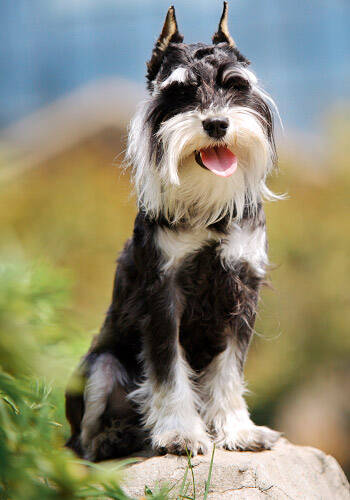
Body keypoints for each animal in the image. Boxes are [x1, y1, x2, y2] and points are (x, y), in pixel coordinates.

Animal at [65, 1, 282, 460]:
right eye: (179, 92)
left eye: (235, 85)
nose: (216, 123)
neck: (209, 212)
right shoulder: (163, 295)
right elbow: (168, 371)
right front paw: (181, 434)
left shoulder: (242, 291)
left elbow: (229, 371)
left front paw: (239, 430)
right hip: (101, 367)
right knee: (81, 444)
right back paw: (116, 438)